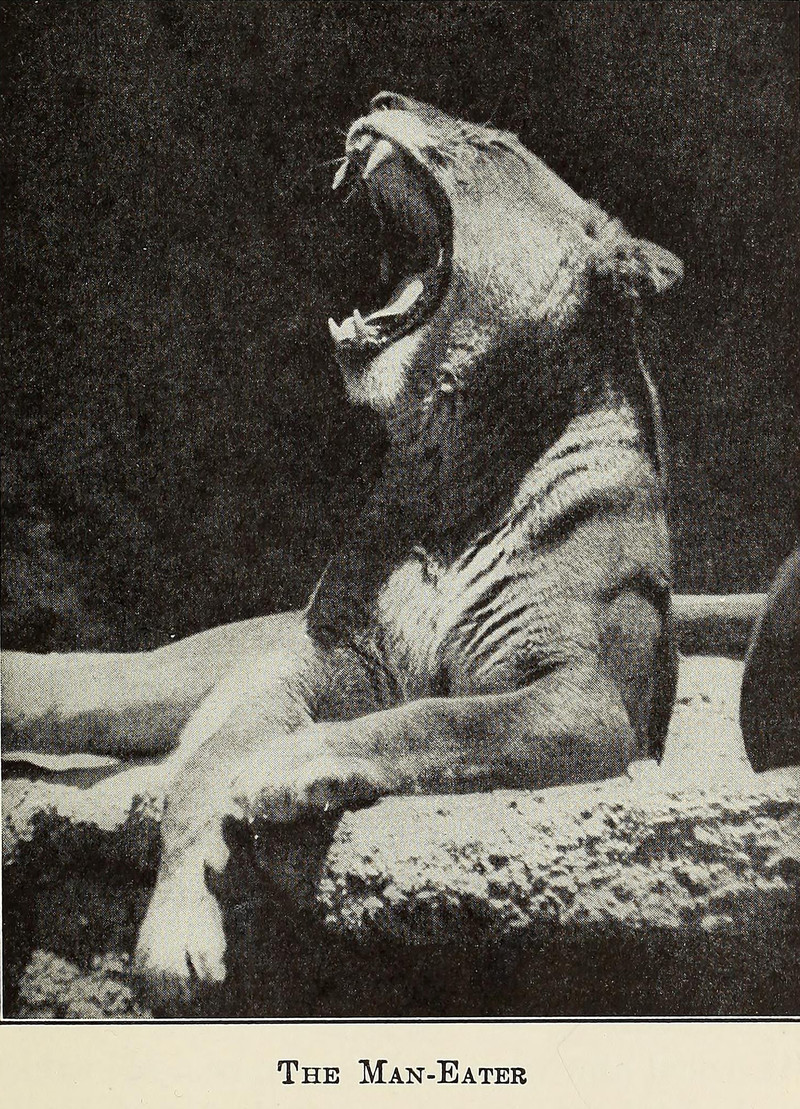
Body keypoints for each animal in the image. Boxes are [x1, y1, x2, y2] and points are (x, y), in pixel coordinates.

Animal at [2, 92, 687, 1004]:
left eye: (495, 143)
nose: (383, 101)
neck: (450, 467)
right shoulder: (317, 660)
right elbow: (201, 770)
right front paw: (175, 932)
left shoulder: (587, 696)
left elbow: (437, 721)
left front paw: (293, 765)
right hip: (159, 672)